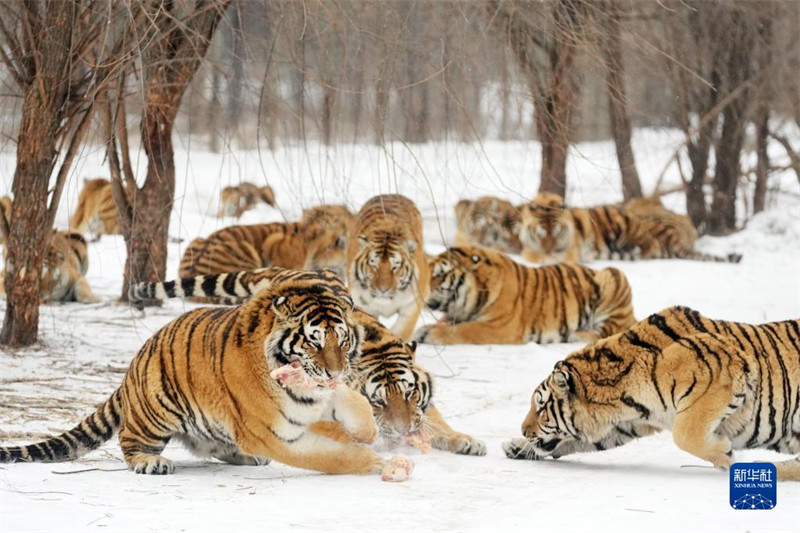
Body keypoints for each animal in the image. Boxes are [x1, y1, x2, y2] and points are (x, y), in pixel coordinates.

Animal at [0, 269, 416, 479]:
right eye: (314, 341)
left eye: (341, 340)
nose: (335, 370)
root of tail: (133, 366)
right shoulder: (271, 434)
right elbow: (331, 457)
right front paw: (374, 462)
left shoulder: (321, 393)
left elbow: (355, 405)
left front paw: (370, 432)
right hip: (157, 412)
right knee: (129, 440)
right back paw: (151, 462)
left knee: (213, 445)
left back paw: (245, 457)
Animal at [347, 194, 429, 341]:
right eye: (373, 264)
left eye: (395, 266)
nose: (383, 289)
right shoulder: (360, 303)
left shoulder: (414, 301)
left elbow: (402, 331)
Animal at [414, 245, 635, 345]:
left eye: (439, 275)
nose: (420, 290)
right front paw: (426, 329)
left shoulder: (500, 328)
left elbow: (465, 330)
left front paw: (430, 334)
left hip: (613, 275)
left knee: (609, 330)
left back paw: (576, 335)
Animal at [503, 305, 800, 481]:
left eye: (541, 407)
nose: (523, 430)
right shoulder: (624, 425)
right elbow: (573, 442)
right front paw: (515, 447)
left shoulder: (723, 374)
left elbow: (685, 434)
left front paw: (724, 453)